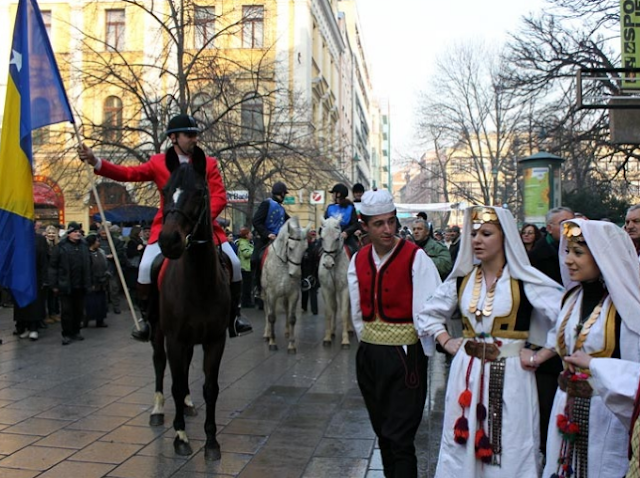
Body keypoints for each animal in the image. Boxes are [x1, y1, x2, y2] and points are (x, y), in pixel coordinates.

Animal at [260, 218, 310, 352]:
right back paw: (267, 334)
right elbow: (271, 317)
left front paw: (292, 345)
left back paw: (287, 332)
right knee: (266, 311)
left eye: (305, 249)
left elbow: (292, 318)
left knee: (286, 310)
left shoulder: (293, 294)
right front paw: (272, 342)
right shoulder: (271, 294)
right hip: (265, 293)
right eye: (291, 248)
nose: (296, 273)